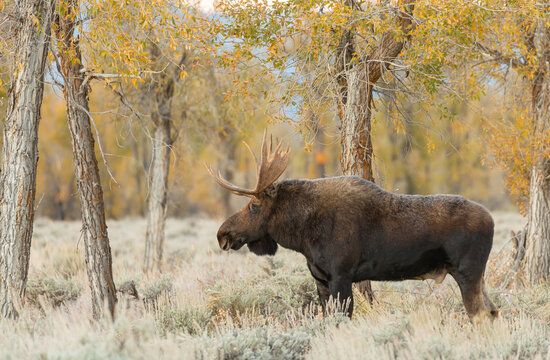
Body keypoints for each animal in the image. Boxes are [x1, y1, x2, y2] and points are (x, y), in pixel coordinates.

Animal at [207, 132, 500, 320]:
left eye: (253, 206)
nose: (223, 234)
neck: (302, 235)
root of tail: (492, 220)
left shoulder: (341, 275)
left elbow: (343, 319)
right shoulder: (321, 280)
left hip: (467, 272)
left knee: (480, 314)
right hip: (474, 275)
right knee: (494, 311)